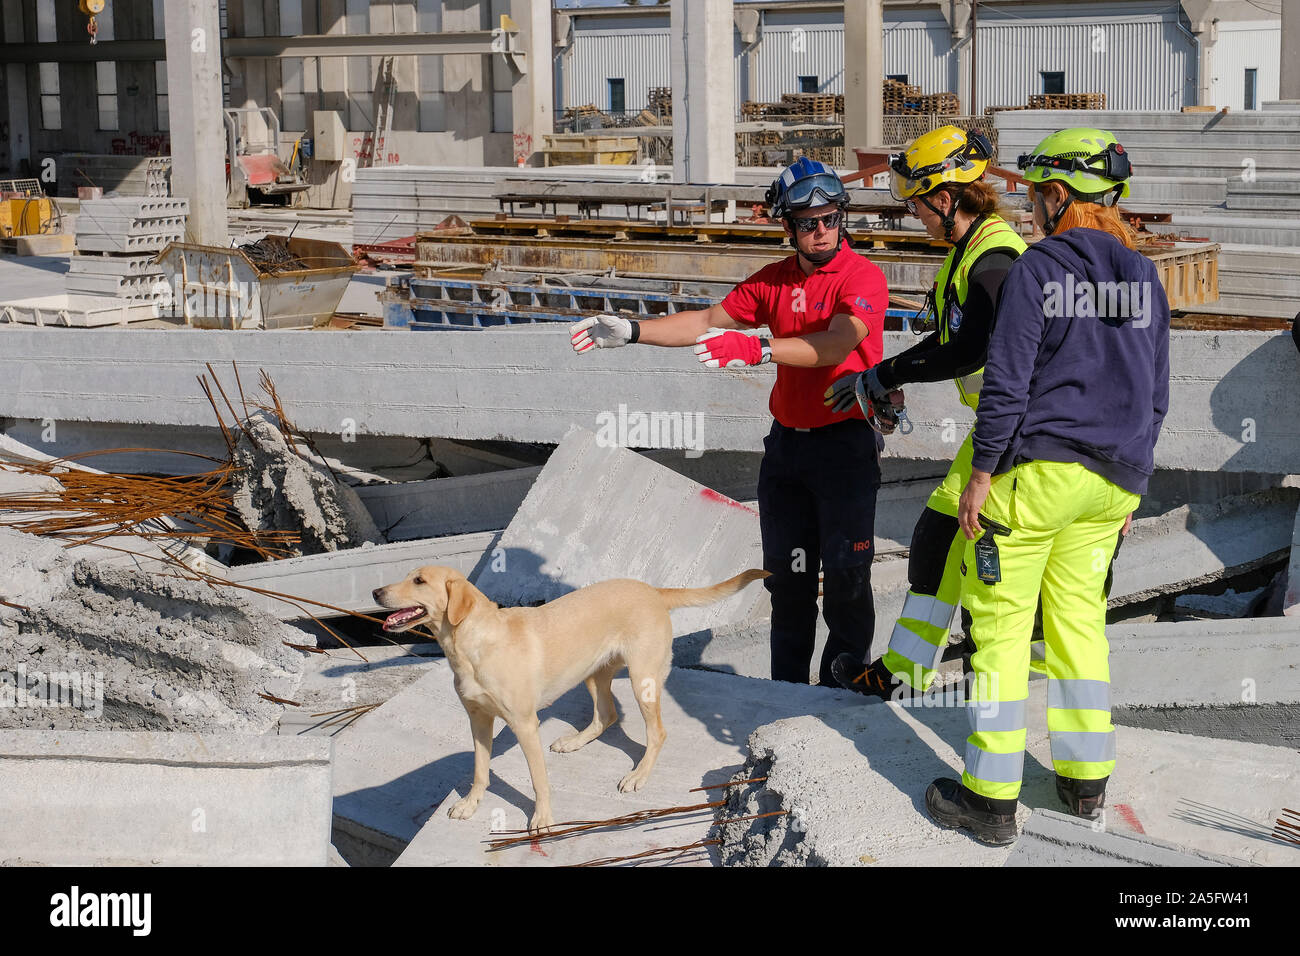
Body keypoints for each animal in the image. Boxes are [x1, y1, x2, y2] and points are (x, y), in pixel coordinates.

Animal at [371, 564, 764, 832]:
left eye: (419, 581)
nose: (375, 592)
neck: (471, 642)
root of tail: (652, 590)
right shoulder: (478, 719)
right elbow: (480, 771)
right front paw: (470, 804)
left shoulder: (525, 725)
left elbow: (538, 780)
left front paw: (543, 818)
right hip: (591, 672)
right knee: (606, 715)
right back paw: (575, 741)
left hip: (643, 680)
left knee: (656, 732)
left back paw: (638, 775)